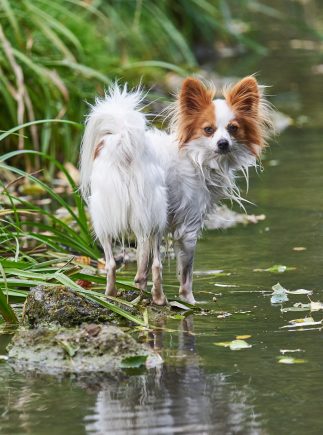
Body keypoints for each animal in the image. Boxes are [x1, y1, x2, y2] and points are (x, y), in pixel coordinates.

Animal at [79, 76, 274, 306]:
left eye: (233, 128)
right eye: (208, 130)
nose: (223, 143)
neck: (196, 157)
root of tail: (123, 145)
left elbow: (142, 264)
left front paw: (139, 292)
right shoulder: (189, 226)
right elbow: (186, 274)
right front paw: (189, 301)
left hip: (108, 215)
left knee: (111, 263)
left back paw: (111, 295)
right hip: (155, 214)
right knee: (155, 265)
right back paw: (159, 298)